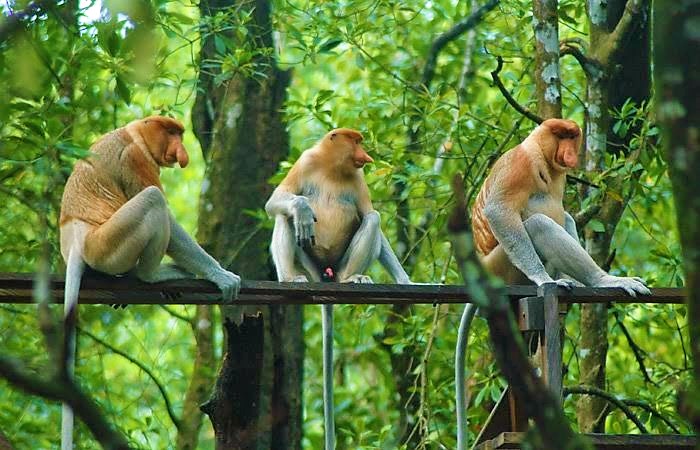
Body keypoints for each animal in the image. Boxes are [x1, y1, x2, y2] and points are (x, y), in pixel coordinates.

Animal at [60, 115, 241, 446]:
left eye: (180, 133)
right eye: (171, 132)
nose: (181, 151)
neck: (136, 135)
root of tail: (77, 239)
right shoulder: (135, 159)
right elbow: (165, 212)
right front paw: (222, 275)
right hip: (108, 245)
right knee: (153, 200)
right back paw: (153, 274)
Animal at [266, 127, 410, 450]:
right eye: (355, 140)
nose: (365, 155)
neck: (332, 168)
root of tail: (327, 275)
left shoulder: (358, 178)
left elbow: (369, 214)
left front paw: (407, 281)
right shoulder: (306, 161)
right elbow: (276, 201)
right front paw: (303, 209)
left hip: (338, 265)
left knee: (373, 218)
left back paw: (353, 278)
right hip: (310, 265)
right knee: (284, 216)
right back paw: (291, 277)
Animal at [470, 118, 652, 298]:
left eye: (572, 137)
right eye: (561, 136)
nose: (570, 154)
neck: (541, 152)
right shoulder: (520, 162)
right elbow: (498, 211)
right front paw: (543, 278)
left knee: (567, 219)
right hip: (500, 268)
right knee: (539, 224)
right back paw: (602, 280)